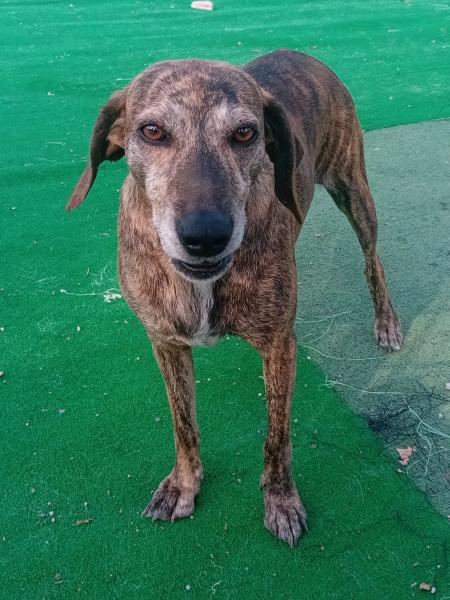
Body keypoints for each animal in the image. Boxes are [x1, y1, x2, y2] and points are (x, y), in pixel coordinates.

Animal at [67, 49, 402, 547]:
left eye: (246, 133)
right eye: (152, 131)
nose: (205, 236)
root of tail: (301, 54)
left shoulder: (279, 346)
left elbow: (277, 435)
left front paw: (280, 500)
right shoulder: (166, 343)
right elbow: (183, 423)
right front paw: (184, 484)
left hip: (353, 188)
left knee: (372, 259)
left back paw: (387, 323)